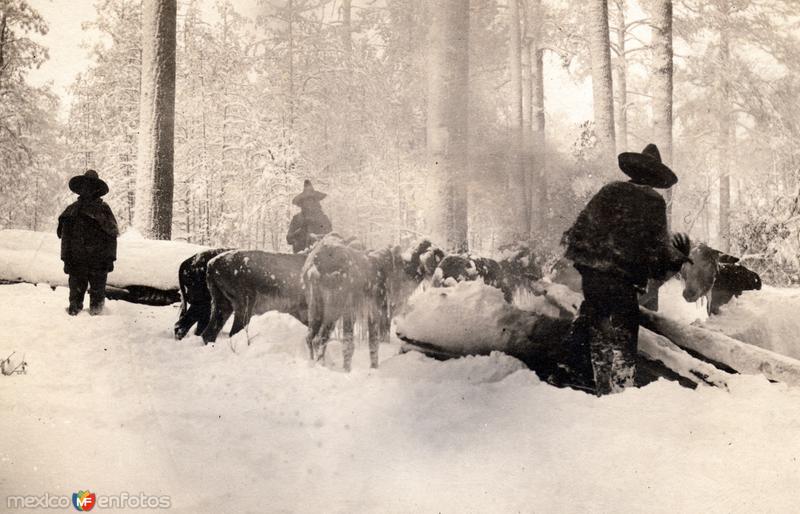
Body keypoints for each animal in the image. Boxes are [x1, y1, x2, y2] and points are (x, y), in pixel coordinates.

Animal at [304, 234, 444, 370]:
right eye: (437, 256)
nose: (440, 277)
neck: (399, 273)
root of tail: (314, 263)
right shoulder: (376, 310)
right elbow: (374, 342)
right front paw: (374, 367)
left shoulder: (352, 312)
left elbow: (348, 344)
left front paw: (347, 369)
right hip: (334, 307)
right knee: (319, 339)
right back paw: (321, 365)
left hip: (315, 306)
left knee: (309, 337)